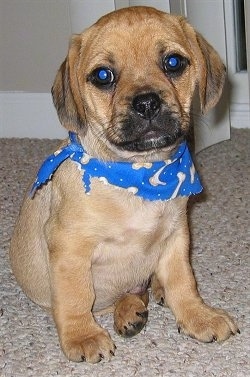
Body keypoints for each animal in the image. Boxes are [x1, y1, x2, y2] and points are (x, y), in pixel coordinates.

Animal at [10, 5, 239, 362]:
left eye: (174, 62)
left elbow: (183, 281)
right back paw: (128, 312)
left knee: (145, 287)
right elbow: (74, 297)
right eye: (103, 76)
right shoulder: (69, 247)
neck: (140, 171)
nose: (147, 103)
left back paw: (143, 300)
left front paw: (197, 315)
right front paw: (82, 335)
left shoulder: (176, 235)